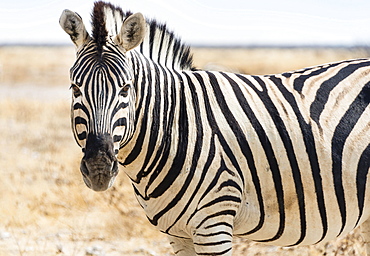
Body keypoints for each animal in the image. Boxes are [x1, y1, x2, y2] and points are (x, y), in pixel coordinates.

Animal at [59, 1, 370, 255]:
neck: (174, 126)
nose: (99, 168)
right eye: (75, 88)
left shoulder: (214, 223)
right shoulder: (177, 234)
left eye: (125, 89)